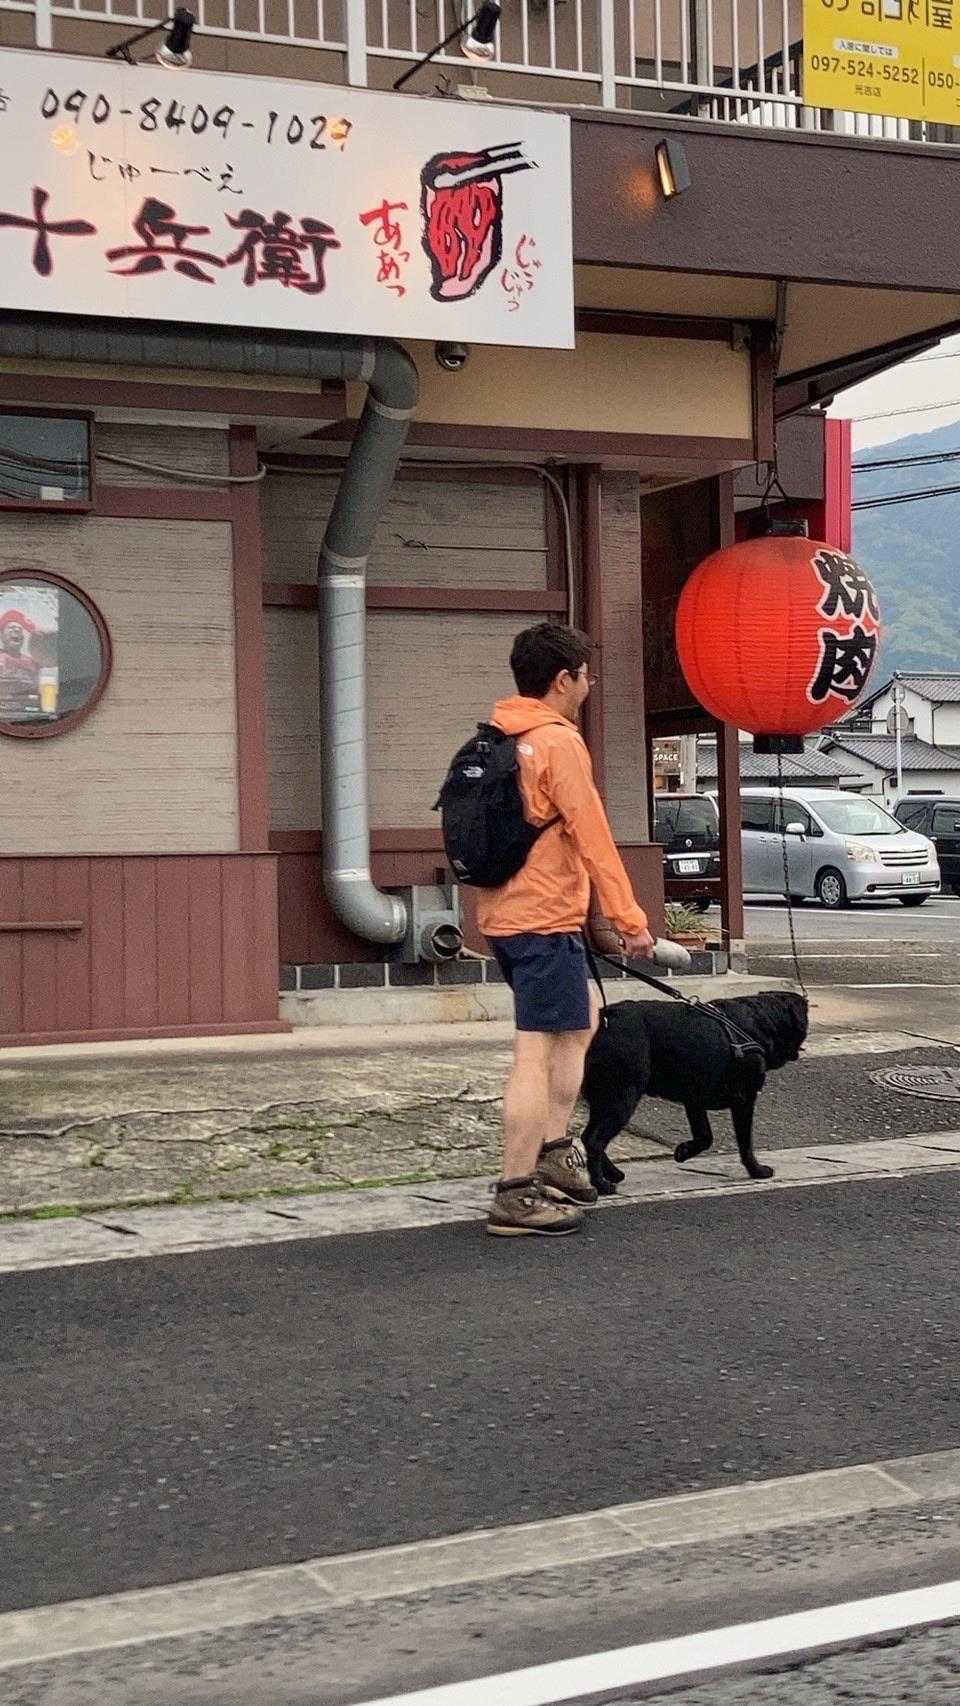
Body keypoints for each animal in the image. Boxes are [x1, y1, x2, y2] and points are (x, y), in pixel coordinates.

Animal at [579, 991, 808, 1194]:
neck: (760, 1022)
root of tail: (604, 1017)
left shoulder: (694, 1099)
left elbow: (705, 1135)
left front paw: (684, 1151)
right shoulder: (745, 1099)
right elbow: (745, 1143)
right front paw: (756, 1170)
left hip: (603, 1099)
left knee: (588, 1136)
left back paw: (613, 1173)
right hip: (622, 1097)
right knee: (594, 1140)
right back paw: (602, 1185)